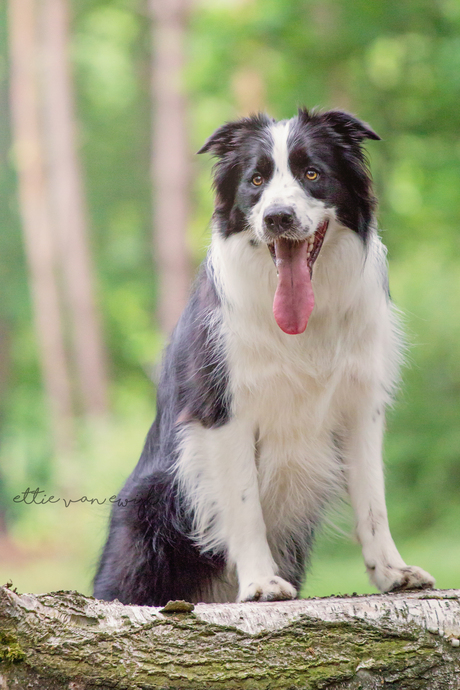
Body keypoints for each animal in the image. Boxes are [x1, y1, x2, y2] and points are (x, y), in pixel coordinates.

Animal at [94, 107, 434, 600]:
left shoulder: (361, 407)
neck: (304, 325)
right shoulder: (224, 413)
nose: (277, 217)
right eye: (256, 179)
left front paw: (393, 572)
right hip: (151, 515)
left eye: (312, 173)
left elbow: (374, 502)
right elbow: (244, 505)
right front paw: (259, 582)